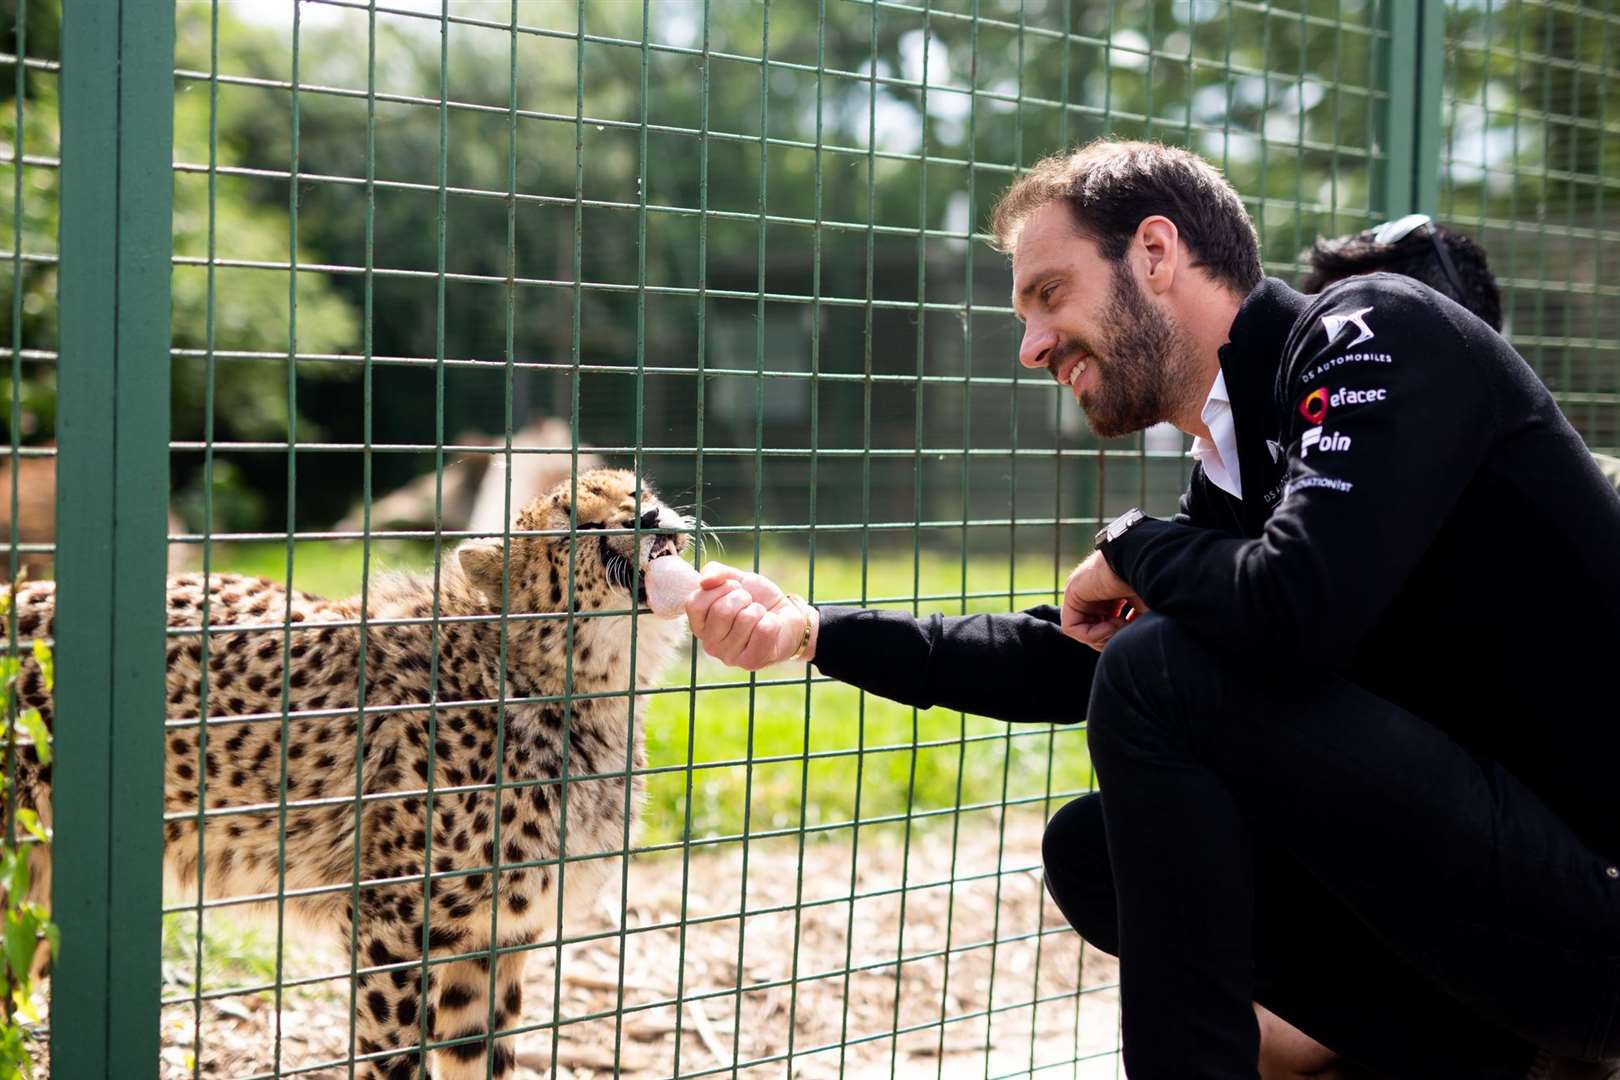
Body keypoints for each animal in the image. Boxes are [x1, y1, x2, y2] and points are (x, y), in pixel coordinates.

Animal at [7, 469, 690, 1080]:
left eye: (640, 492)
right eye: (578, 522)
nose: (652, 518)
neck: (575, 686)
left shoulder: (492, 942)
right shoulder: (394, 923)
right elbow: (394, 1056)